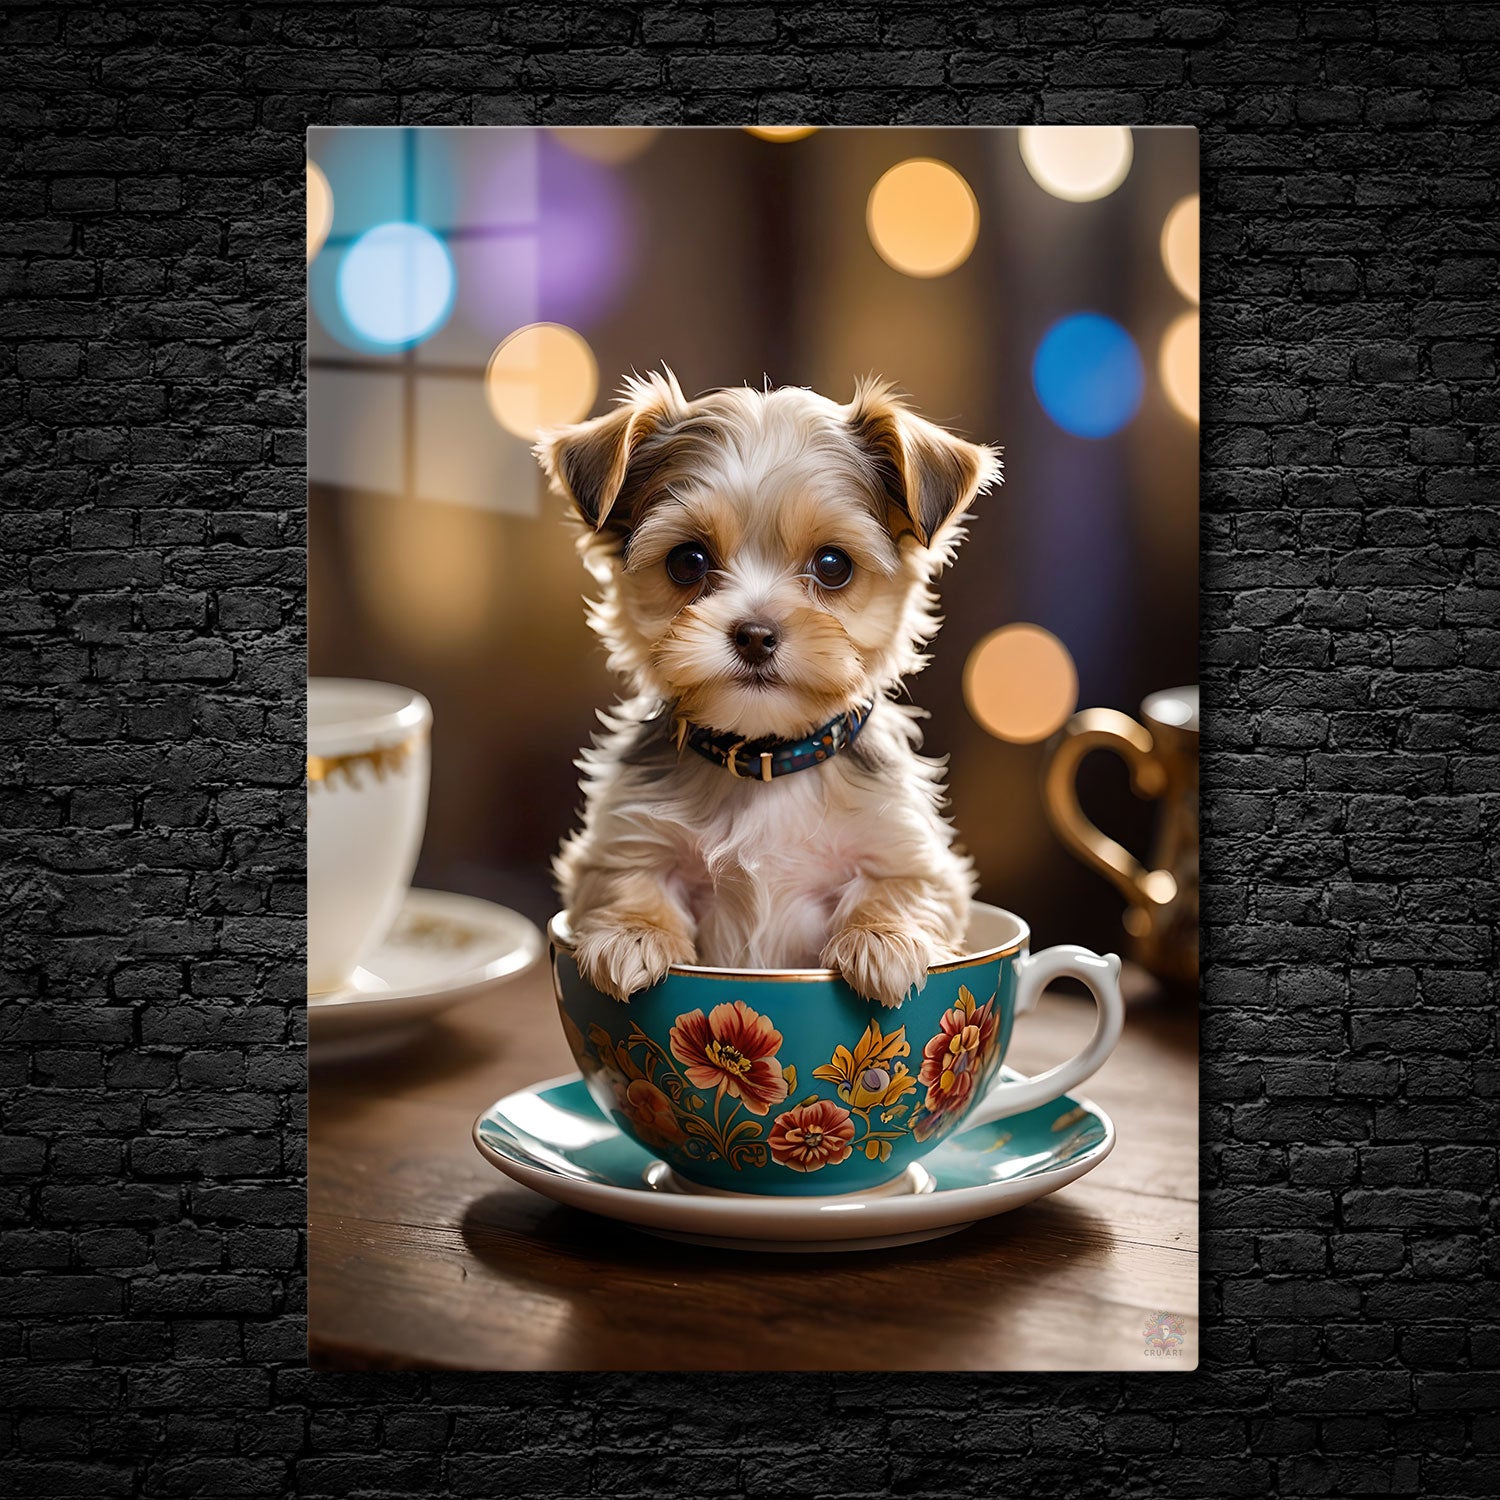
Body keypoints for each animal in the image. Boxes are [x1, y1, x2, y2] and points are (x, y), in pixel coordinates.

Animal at [534, 370, 1002, 1008]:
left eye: (833, 564)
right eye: (687, 561)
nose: (755, 635)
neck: (767, 760)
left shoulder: (911, 856)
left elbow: (900, 889)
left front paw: (882, 941)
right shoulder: (622, 842)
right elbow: (627, 882)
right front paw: (631, 936)